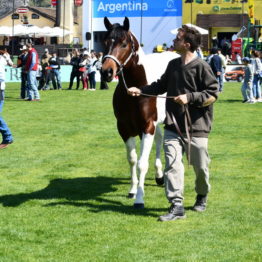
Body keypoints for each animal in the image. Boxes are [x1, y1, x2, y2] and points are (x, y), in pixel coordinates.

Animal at [100, 16, 178, 209]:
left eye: (124, 44)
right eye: (105, 42)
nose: (106, 72)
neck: (136, 90)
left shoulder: (147, 126)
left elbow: (142, 163)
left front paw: (140, 199)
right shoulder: (125, 128)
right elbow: (132, 159)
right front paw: (133, 190)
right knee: (159, 140)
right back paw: (159, 175)